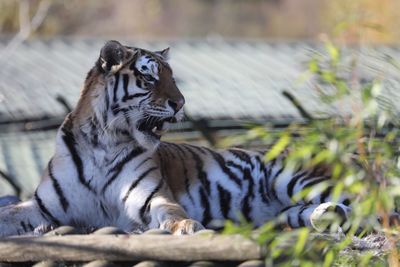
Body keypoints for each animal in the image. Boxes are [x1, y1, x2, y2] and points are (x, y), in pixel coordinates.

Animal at [0, 39, 354, 237]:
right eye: (150, 77)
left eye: (173, 77)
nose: (181, 103)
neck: (104, 142)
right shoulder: (42, 207)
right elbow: (9, 214)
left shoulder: (150, 197)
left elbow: (171, 212)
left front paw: (187, 226)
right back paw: (323, 216)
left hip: (292, 177)